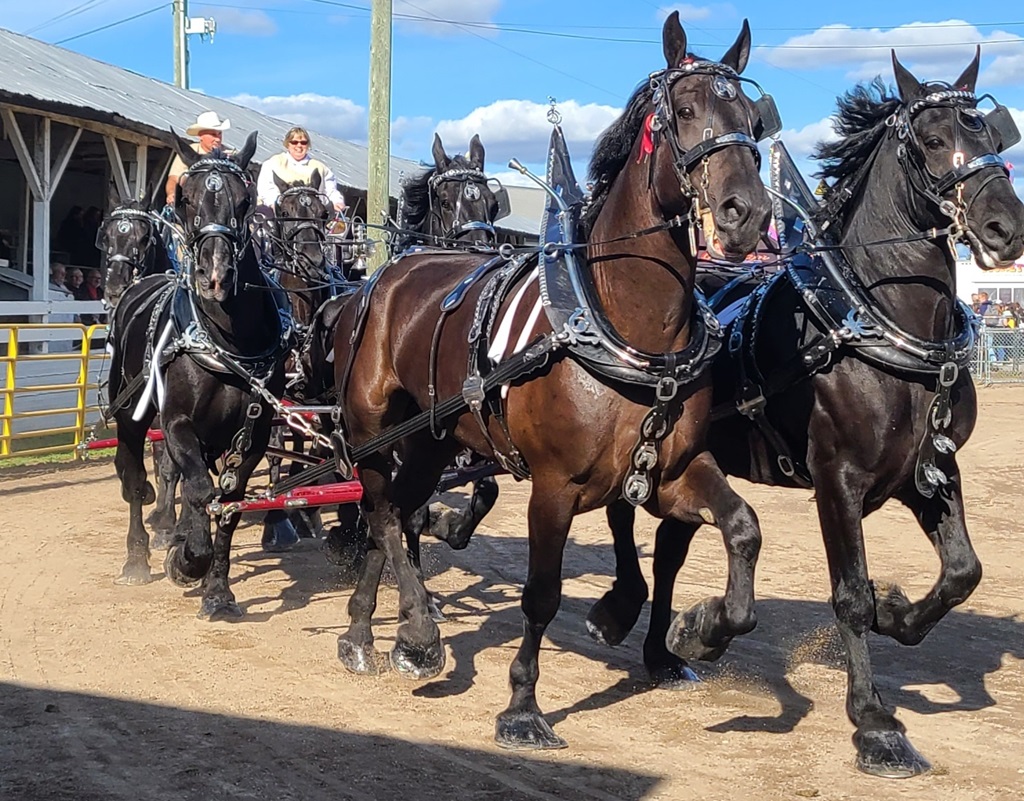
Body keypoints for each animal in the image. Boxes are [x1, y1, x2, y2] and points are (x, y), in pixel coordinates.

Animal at [107, 133, 293, 619]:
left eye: (244, 200)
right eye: (185, 199)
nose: (215, 275)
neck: (228, 341)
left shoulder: (254, 434)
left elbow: (226, 502)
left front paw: (218, 590)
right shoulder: (175, 424)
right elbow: (194, 489)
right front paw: (187, 559)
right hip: (131, 417)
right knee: (134, 479)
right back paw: (137, 556)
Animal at [328, 12, 775, 749]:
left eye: (754, 119)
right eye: (683, 112)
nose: (749, 213)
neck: (624, 325)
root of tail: (382, 279)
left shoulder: (672, 468)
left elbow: (742, 527)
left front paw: (702, 628)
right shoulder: (553, 486)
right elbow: (541, 594)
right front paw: (523, 706)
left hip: (428, 438)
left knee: (391, 510)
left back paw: (366, 631)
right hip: (372, 427)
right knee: (386, 510)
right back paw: (418, 628)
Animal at [592, 51, 1024, 776]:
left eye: (993, 136)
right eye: (934, 140)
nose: (1005, 226)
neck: (875, 326)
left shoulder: (929, 470)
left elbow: (963, 572)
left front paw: (896, 612)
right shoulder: (836, 477)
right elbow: (849, 593)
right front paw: (874, 721)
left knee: (671, 549)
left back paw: (671, 647)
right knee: (625, 516)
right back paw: (623, 611)